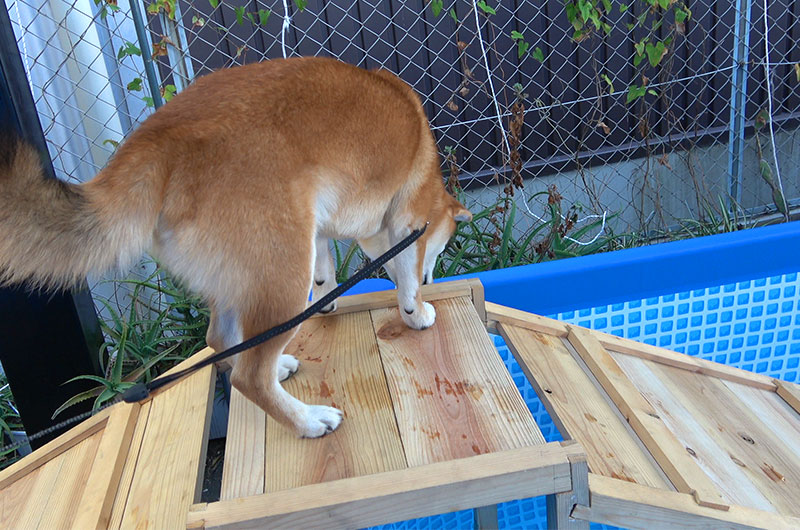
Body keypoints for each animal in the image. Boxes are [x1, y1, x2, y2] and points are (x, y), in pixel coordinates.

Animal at [0, 57, 472, 438]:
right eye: (441, 248)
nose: (434, 276)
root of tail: (161, 138)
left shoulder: (318, 230)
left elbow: (325, 273)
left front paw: (326, 301)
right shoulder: (409, 222)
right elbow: (405, 277)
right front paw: (415, 312)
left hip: (247, 279)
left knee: (225, 341)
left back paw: (279, 367)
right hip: (281, 279)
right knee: (249, 377)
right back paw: (307, 420)